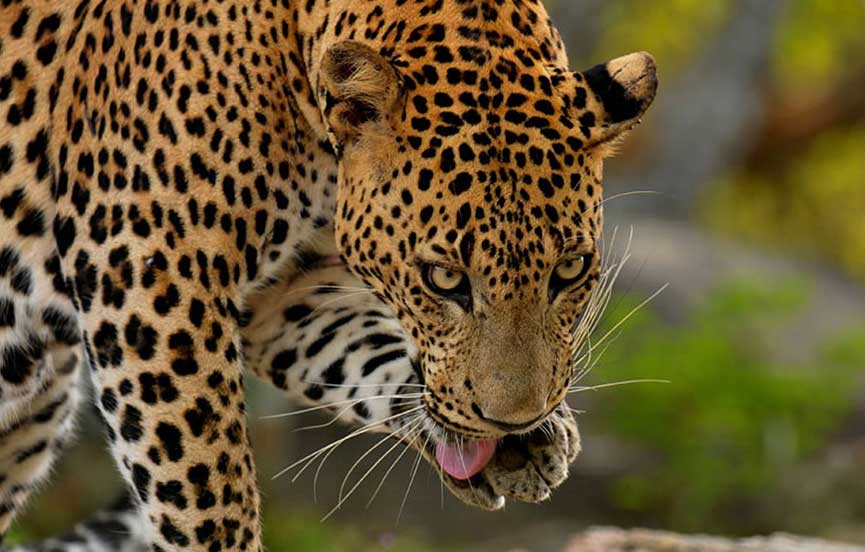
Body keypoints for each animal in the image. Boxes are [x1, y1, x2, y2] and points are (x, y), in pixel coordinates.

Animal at [0, 0, 657, 549]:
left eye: (570, 269)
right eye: (443, 279)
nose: (513, 422)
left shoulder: (286, 293)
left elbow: (367, 354)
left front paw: (523, 443)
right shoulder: (146, 270)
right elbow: (206, 487)